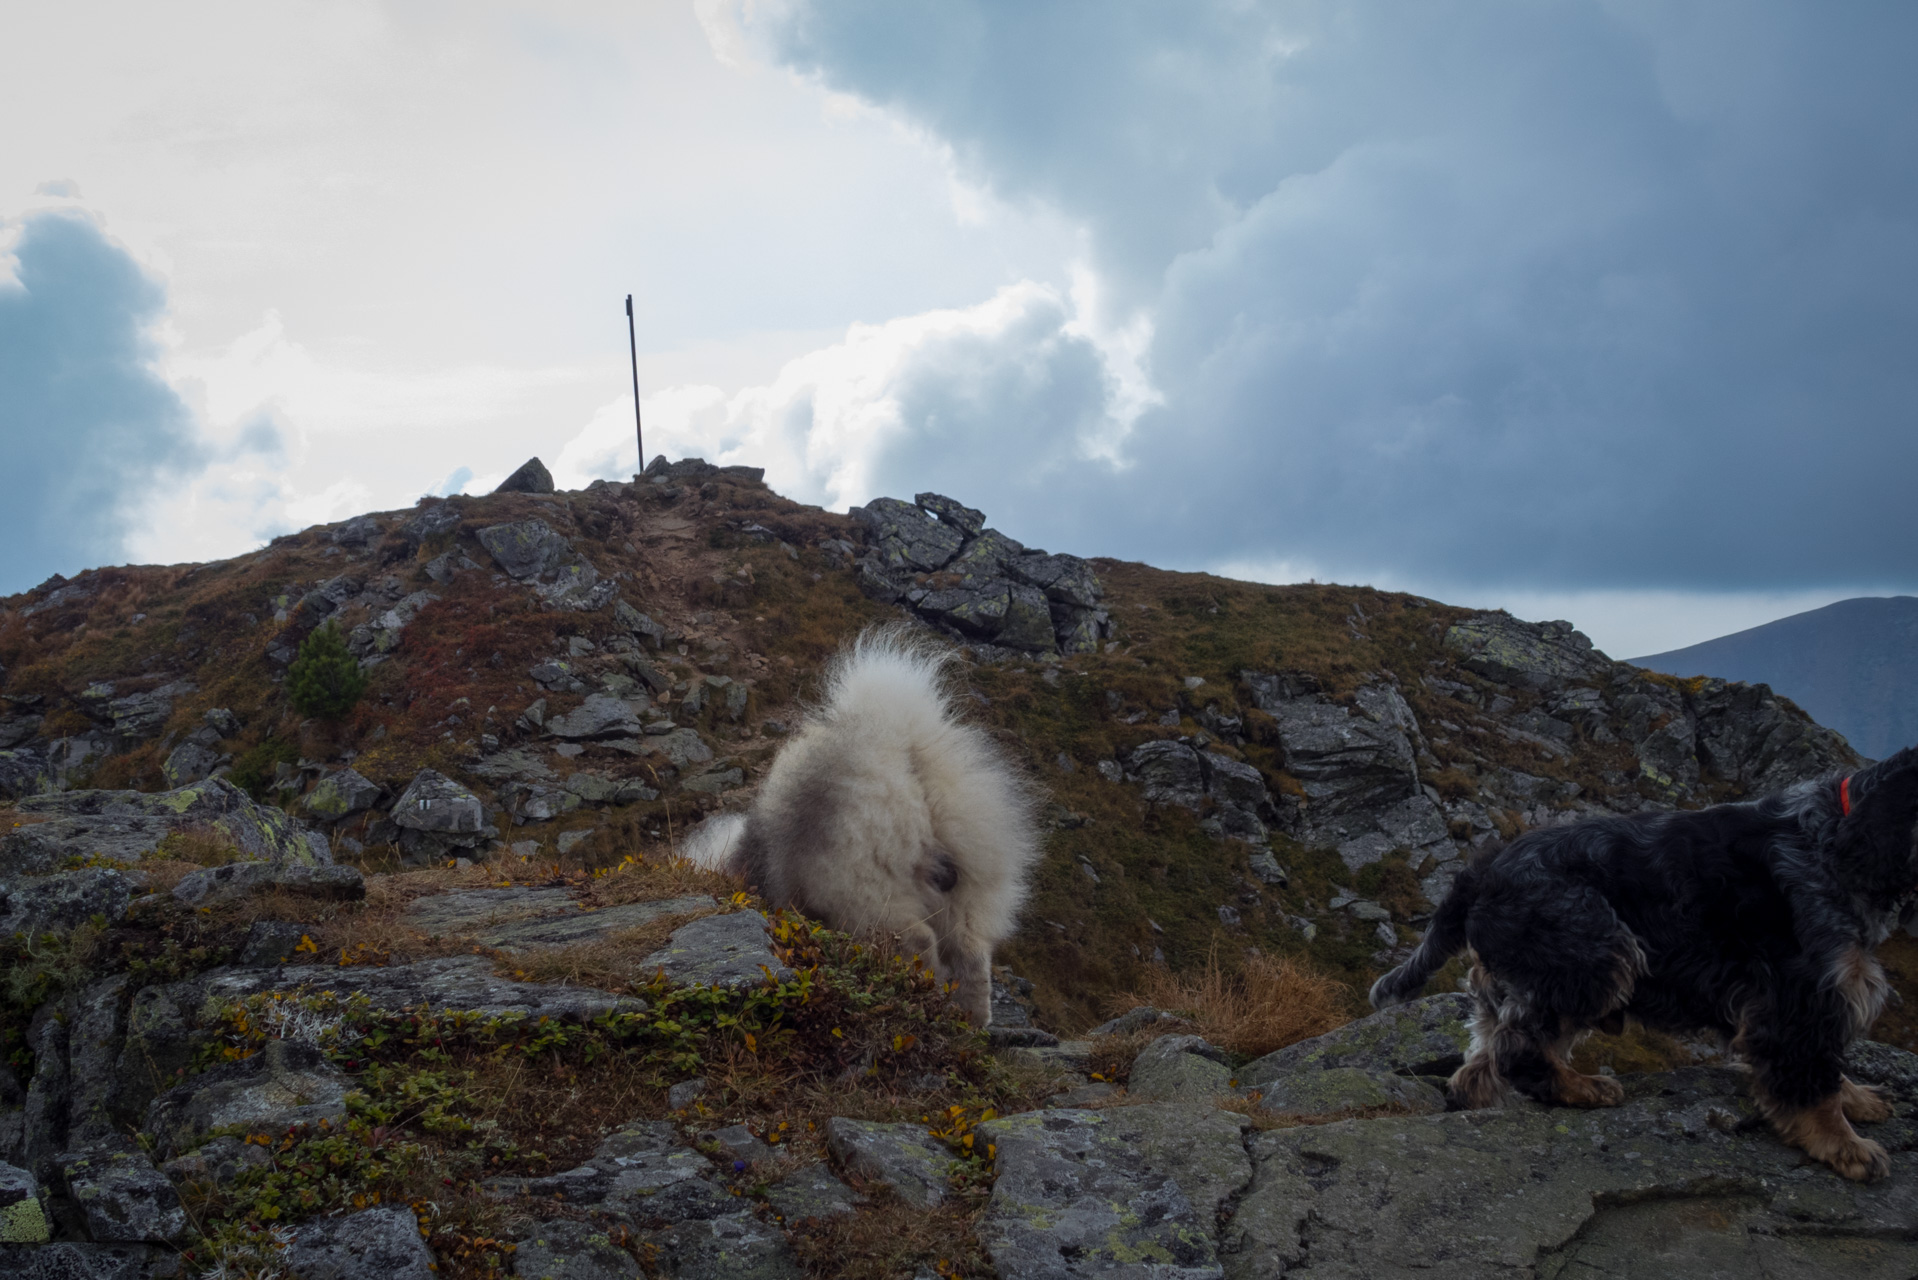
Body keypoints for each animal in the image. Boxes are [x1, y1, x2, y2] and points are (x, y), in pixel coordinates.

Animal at [682, 625, 1043, 1028]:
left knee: (919, 942)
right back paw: (971, 1019)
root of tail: (905, 759)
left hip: (869, 891)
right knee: (971, 953)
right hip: (970, 891)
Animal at [1373, 752, 1910, 1182]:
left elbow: (1828, 1069)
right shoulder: (1798, 996)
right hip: (1597, 952)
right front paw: (1845, 1146)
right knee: (1519, 1048)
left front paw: (1859, 1099)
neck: (1833, 834)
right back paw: (1583, 1087)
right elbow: (1811, 1080)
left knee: (1479, 1063)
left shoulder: (1813, 997)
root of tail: (1481, 870)